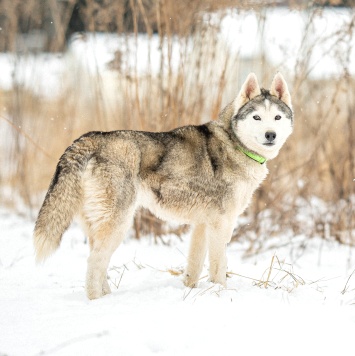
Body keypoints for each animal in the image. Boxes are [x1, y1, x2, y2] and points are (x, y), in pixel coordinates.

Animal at [34, 73, 294, 300]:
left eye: (277, 118)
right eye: (256, 117)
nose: (270, 135)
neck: (235, 143)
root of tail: (88, 138)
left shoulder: (202, 225)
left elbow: (193, 267)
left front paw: (191, 291)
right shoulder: (221, 224)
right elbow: (219, 267)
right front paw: (221, 293)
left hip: (101, 227)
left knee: (99, 263)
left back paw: (107, 296)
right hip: (119, 224)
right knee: (93, 263)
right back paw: (97, 301)